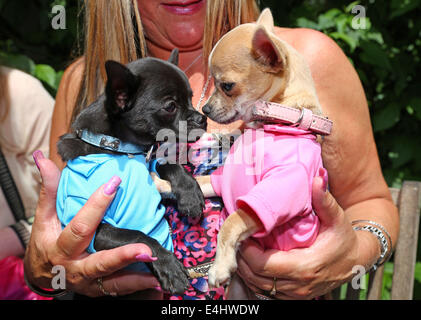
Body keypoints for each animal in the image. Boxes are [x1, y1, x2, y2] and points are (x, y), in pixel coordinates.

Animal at [55, 49, 207, 296]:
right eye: (170, 106)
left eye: (191, 99)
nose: (202, 118)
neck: (121, 148)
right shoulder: (97, 231)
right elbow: (139, 236)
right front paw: (169, 266)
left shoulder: (151, 157)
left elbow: (167, 162)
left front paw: (190, 194)